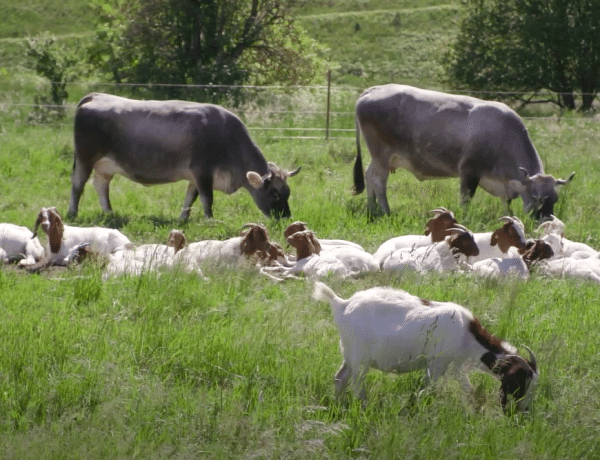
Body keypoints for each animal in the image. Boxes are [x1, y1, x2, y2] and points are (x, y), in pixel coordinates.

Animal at [69, 93, 300, 219]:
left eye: (288, 193)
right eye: (274, 194)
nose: (286, 218)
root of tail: (96, 96)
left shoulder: (195, 176)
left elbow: (191, 197)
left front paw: (183, 218)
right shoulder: (203, 171)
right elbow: (207, 198)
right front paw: (210, 220)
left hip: (104, 165)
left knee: (101, 185)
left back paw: (109, 212)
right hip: (85, 158)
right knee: (78, 184)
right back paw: (72, 213)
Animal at [314, 282, 540, 412]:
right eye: (520, 381)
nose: (523, 411)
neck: (466, 335)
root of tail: (342, 304)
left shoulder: (456, 366)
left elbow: (470, 391)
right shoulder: (438, 363)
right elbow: (426, 390)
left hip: (349, 355)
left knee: (340, 378)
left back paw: (339, 405)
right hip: (360, 358)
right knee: (356, 384)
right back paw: (364, 406)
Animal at [354, 84, 576, 219]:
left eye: (555, 199)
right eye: (538, 199)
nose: (546, 222)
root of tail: (374, 89)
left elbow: (506, 204)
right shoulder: (469, 172)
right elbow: (465, 200)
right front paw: (465, 219)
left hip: (379, 157)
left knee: (368, 175)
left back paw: (372, 209)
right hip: (382, 155)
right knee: (378, 180)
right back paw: (385, 211)